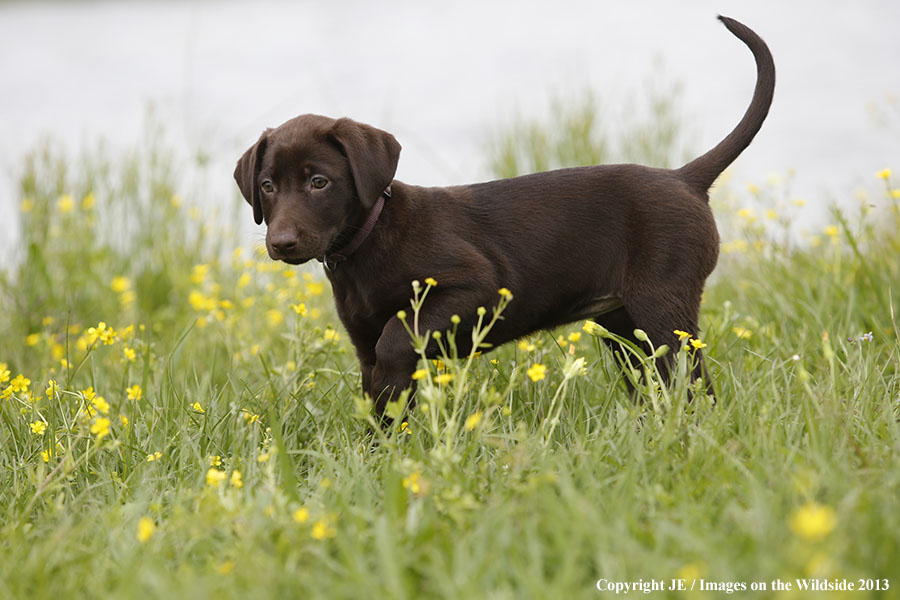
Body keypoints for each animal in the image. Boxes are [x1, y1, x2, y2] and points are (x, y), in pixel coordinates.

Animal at [237, 16, 772, 414]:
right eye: (267, 186)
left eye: (319, 182)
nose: (281, 243)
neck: (366, 243)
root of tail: (685, 178)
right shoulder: (362, 338)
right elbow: (381, 394)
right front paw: (380, 454)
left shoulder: (476, 287)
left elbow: (398, 338)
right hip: (625, 326)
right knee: (655, 384)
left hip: (663, 309)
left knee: (693, 385)